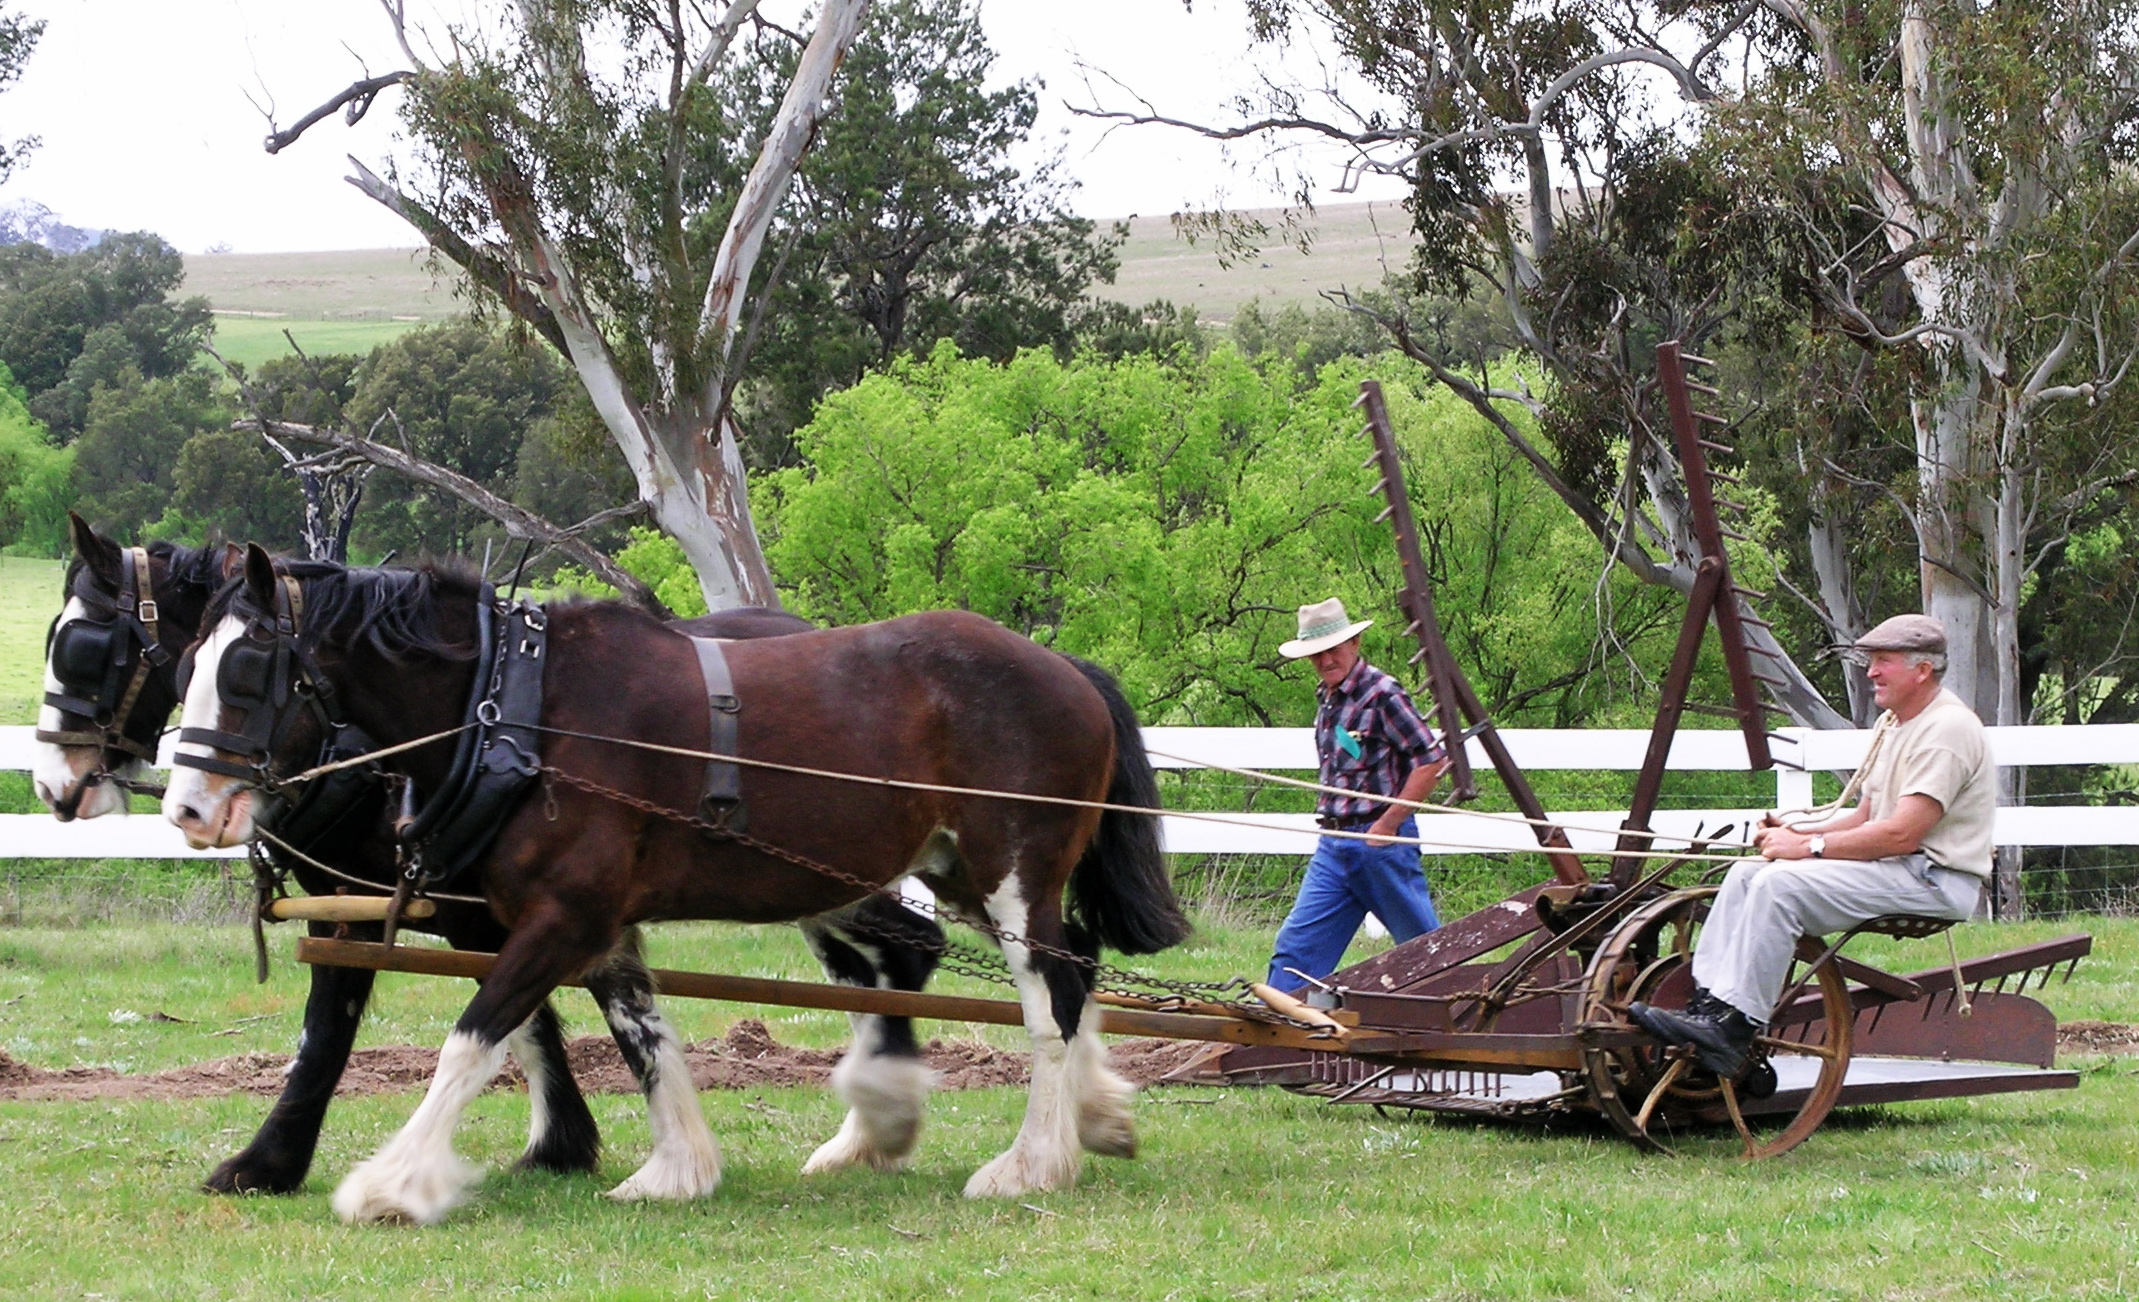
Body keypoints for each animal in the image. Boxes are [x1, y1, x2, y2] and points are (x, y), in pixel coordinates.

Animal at [35, 513, 817, 1197]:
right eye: (190, 664)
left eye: (82, 647)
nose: (51, 783)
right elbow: (526, 1016)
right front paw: (561, 1144)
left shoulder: (442, 909)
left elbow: (340, 1030)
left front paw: (268, 1162)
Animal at [164, 543, 1189, 1222]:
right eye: (186, 664)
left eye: (250, 669)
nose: (186, 809)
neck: (520, 710)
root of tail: (1063, 667)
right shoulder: (598, 924)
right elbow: (641, 1035)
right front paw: (676, 1169)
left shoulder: (563, 917)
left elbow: (472, 1040)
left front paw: (393, 1182)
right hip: (956, 873)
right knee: (1075, 965)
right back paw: (1092, 1119)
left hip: (1011, 875)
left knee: (1049, 999)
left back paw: (1032, 1163)